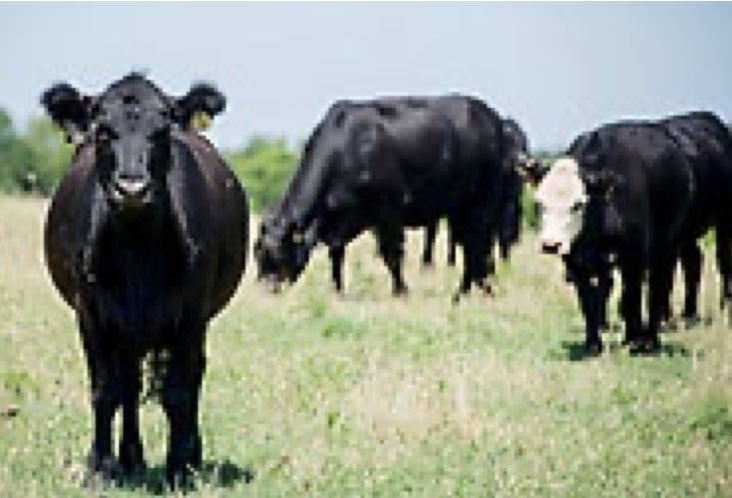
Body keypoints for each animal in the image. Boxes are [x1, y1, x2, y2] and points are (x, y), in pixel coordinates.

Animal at [42, 74, 249, 486]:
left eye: (162, 131)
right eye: (104, 131)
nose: (132, 188)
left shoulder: (191, 314)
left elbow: (179, 392)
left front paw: (179, 470)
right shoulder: (91, 313)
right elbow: (105, 390)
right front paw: (101, 467)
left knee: (191, 376)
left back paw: (187, 454)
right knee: (129, 384)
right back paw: (131, 458)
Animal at [254, 95, 506, 298]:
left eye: (278, 255)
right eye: (257, 254)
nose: (264, 291)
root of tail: (490, 116)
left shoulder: (388, 212)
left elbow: (391, 254)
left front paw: (401, 291)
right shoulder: (340, 223)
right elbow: (336, 255)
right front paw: (337, 291)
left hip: (482, 202)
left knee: (477, 245)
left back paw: (467, 292)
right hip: (460, 209)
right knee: (472, 246)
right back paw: (476, 288)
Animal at [536, 120, 696, 354]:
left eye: (578, 204)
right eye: (540, 202)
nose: (550, 244)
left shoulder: (634, 258)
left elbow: (631, 298)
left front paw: (634, 340)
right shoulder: (576, 264)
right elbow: (589, 302)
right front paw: (593, 343)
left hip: (668, 247)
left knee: (657, 287)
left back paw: (650, 340)